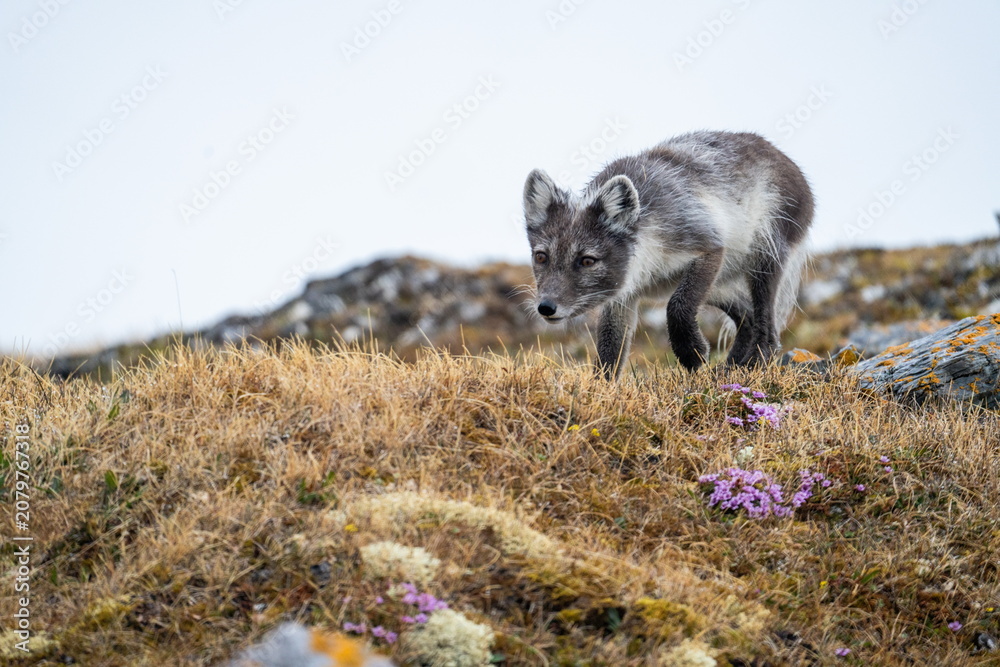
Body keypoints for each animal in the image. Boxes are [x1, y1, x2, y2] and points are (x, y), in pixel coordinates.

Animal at [523, 130, 814, 379]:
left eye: (587, 260)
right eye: (541, 256)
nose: (546, 307)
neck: (648, 268)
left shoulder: (707, 245)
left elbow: (678, 306)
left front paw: (692, 354)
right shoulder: (622, 296)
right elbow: (609, 350)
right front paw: (601, 391)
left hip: (763, 263)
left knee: (768, 332)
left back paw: (749, 369)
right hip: (719, 286)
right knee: (748, 317)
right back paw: (729, 371)